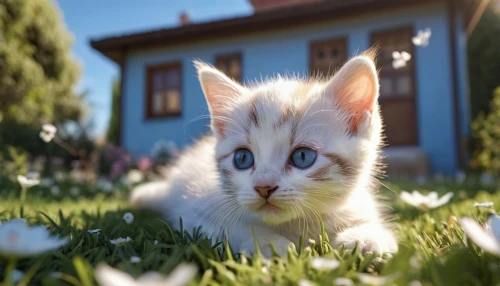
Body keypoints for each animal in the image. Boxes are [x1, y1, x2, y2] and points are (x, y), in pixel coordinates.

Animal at [130, 52, 398, 256]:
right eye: (242, 158)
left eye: (303, 157)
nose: (263, 187)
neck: (295, 225)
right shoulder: (197, 210)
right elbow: (229, 226)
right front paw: (269, 244)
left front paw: (367, 238)